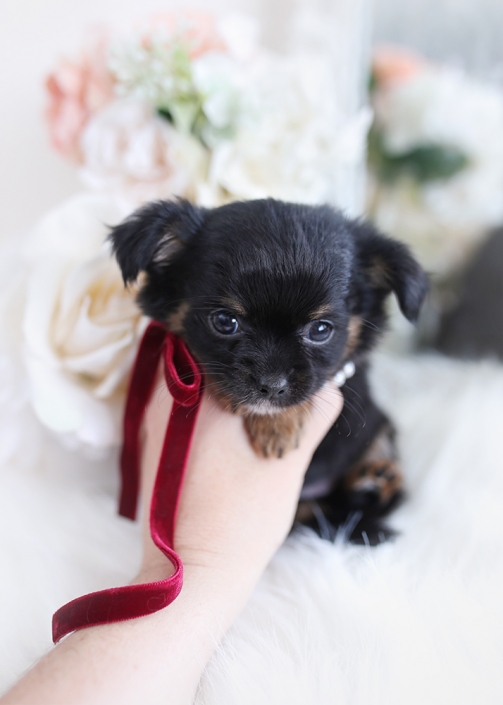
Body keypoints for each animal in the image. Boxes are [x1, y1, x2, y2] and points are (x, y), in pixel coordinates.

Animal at [109, 198, 426, 544]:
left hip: (381, 428)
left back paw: (376, 479)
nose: (271, 385)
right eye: (225, 322)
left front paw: (277, 424)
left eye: (320, 330)